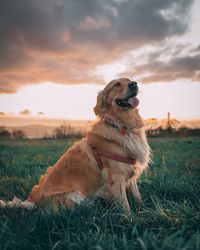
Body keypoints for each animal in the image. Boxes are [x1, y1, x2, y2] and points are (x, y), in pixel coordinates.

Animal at [0, 77, 150, 215]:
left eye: (129, 80)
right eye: (116, 85)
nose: (134, 83)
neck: (121, 126)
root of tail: (32, 201)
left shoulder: (131, 174)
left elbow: (138, 197)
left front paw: (143, 211)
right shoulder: (116, 177)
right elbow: (125, 206)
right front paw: (130, 220)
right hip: (72, 196)